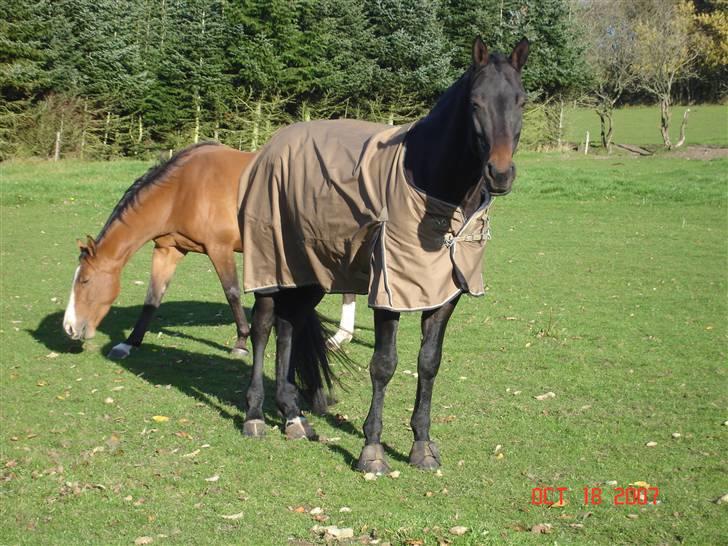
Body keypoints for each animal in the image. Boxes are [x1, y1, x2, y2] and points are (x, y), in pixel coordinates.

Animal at [239, 37, 528, 464]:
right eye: (475, 102)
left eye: (521, 100)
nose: (500, 173)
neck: (430, 183)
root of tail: (272, 146)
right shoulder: (389, 289)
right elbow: (384, 364)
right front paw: (372, 449)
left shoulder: (444, 293)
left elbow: (429, 363)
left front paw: (422, 444)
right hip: (271, 264)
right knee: (262, 326)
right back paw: (255, 415)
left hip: (310, 271)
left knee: (289, 324)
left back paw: (293, 417)